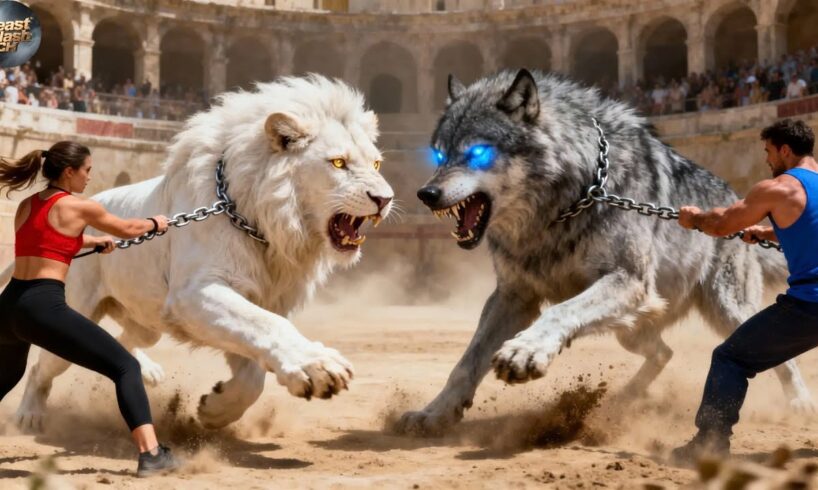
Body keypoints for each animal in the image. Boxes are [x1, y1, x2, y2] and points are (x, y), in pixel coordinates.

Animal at [5, 75, 394, 430]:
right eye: (338, 163)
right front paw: (319, 366)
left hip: (146, 322)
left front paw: (215, 409)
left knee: (123, 341)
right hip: (75, 314)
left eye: (376, 164)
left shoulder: (254, 298)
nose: (385, 199)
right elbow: (269, 326)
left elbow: (253, 373)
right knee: (41, 368)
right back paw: (28, 416)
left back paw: (147, 372)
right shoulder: (195, 293)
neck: (268, 225)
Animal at [394, 69, 813, 436]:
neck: (567, 201)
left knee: (781, 357)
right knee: (664, 353)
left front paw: (526, 351)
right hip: (634, 329)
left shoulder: (627, 280)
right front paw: (434, 413)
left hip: (725, 310)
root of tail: (740, 205)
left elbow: (560, 311)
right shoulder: (514, 296)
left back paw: (799, 403)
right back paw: (624, 399)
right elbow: (466, 363)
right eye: (439, 155)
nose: (426, 194)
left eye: (478, 153)